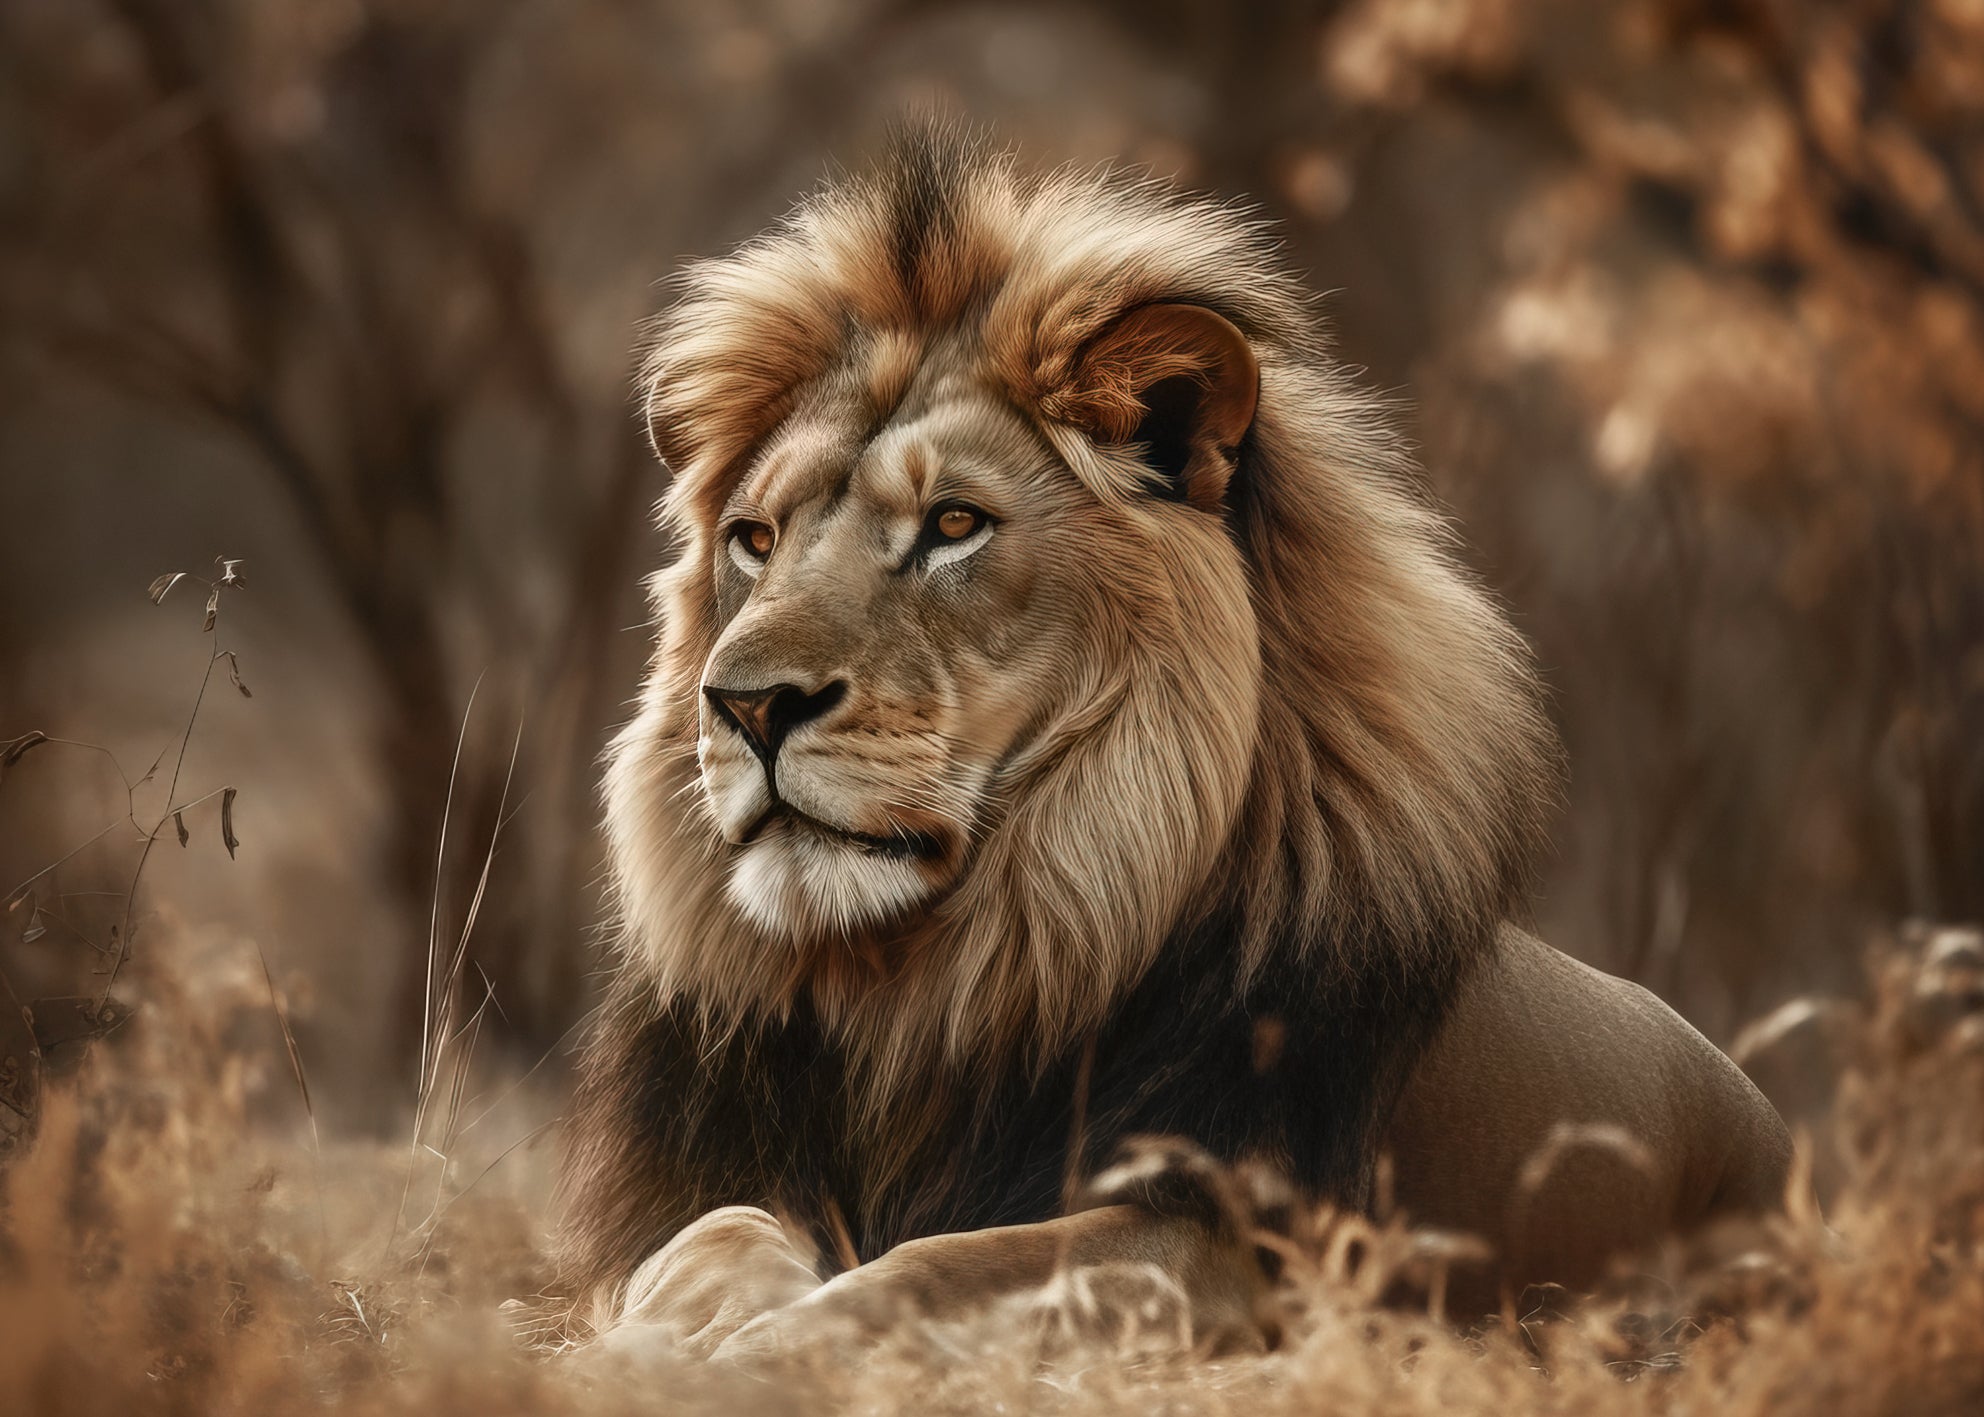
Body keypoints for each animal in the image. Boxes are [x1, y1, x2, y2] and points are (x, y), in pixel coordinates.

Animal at [554, 127, 1795, 1359]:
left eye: (954, 524)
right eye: (754, 539)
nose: (745, 706)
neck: (920, 989)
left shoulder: (1236, 1244)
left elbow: (934, 1267)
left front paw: (770, 1347)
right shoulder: (700, 1188)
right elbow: (711, 1234)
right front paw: (649, 1346)